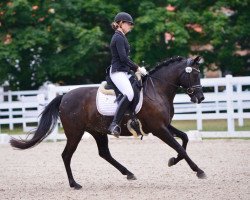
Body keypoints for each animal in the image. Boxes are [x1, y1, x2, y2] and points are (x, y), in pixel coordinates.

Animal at [10, 55, 205, 189]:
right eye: (194, 75)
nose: (201, 97)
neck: (157, 90)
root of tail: (64, 96)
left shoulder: (165, 125)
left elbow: (185, 138)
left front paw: (173, 161)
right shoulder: (159, 129)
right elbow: (179, 146)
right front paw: (198, 170)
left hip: (97, 131)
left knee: (104, 153)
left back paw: (129, 173)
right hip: (75, 133)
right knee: (66, 155)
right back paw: (74, 184)